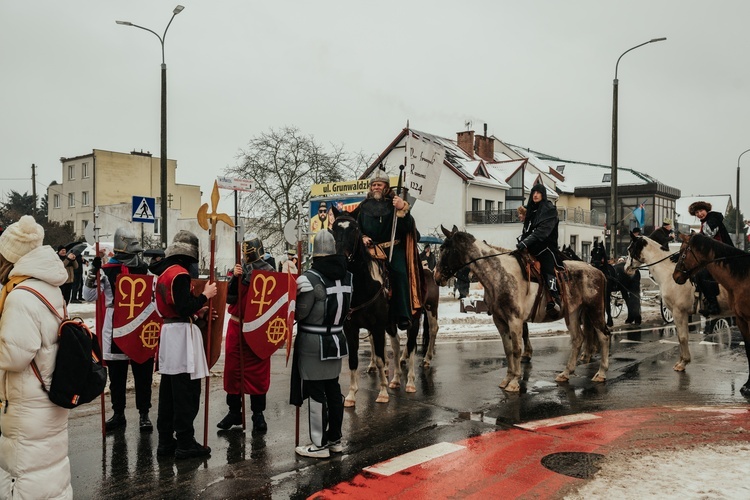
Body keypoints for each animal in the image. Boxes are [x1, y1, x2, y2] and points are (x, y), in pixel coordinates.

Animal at [434, 225, 612, 392]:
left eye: (444, 249)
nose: (436, 277)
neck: (499, 274)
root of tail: (598, 272)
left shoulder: (515, 320)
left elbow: (517, 349)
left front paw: (514, 382)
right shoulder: (500, 321)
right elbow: (508, 350)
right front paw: (507, 378)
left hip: (594, 310)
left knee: (604, 336)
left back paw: (601, 372)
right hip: (573, 313)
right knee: (577, 339)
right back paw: (566, 373)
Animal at [624, 234, 732, 372]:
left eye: (630, 249)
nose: (626, 269)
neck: (668, 274)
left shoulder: (678, 312)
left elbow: (682, 337)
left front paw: (683, 363)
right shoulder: (682, 313)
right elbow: (682, 337)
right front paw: (682, 360)